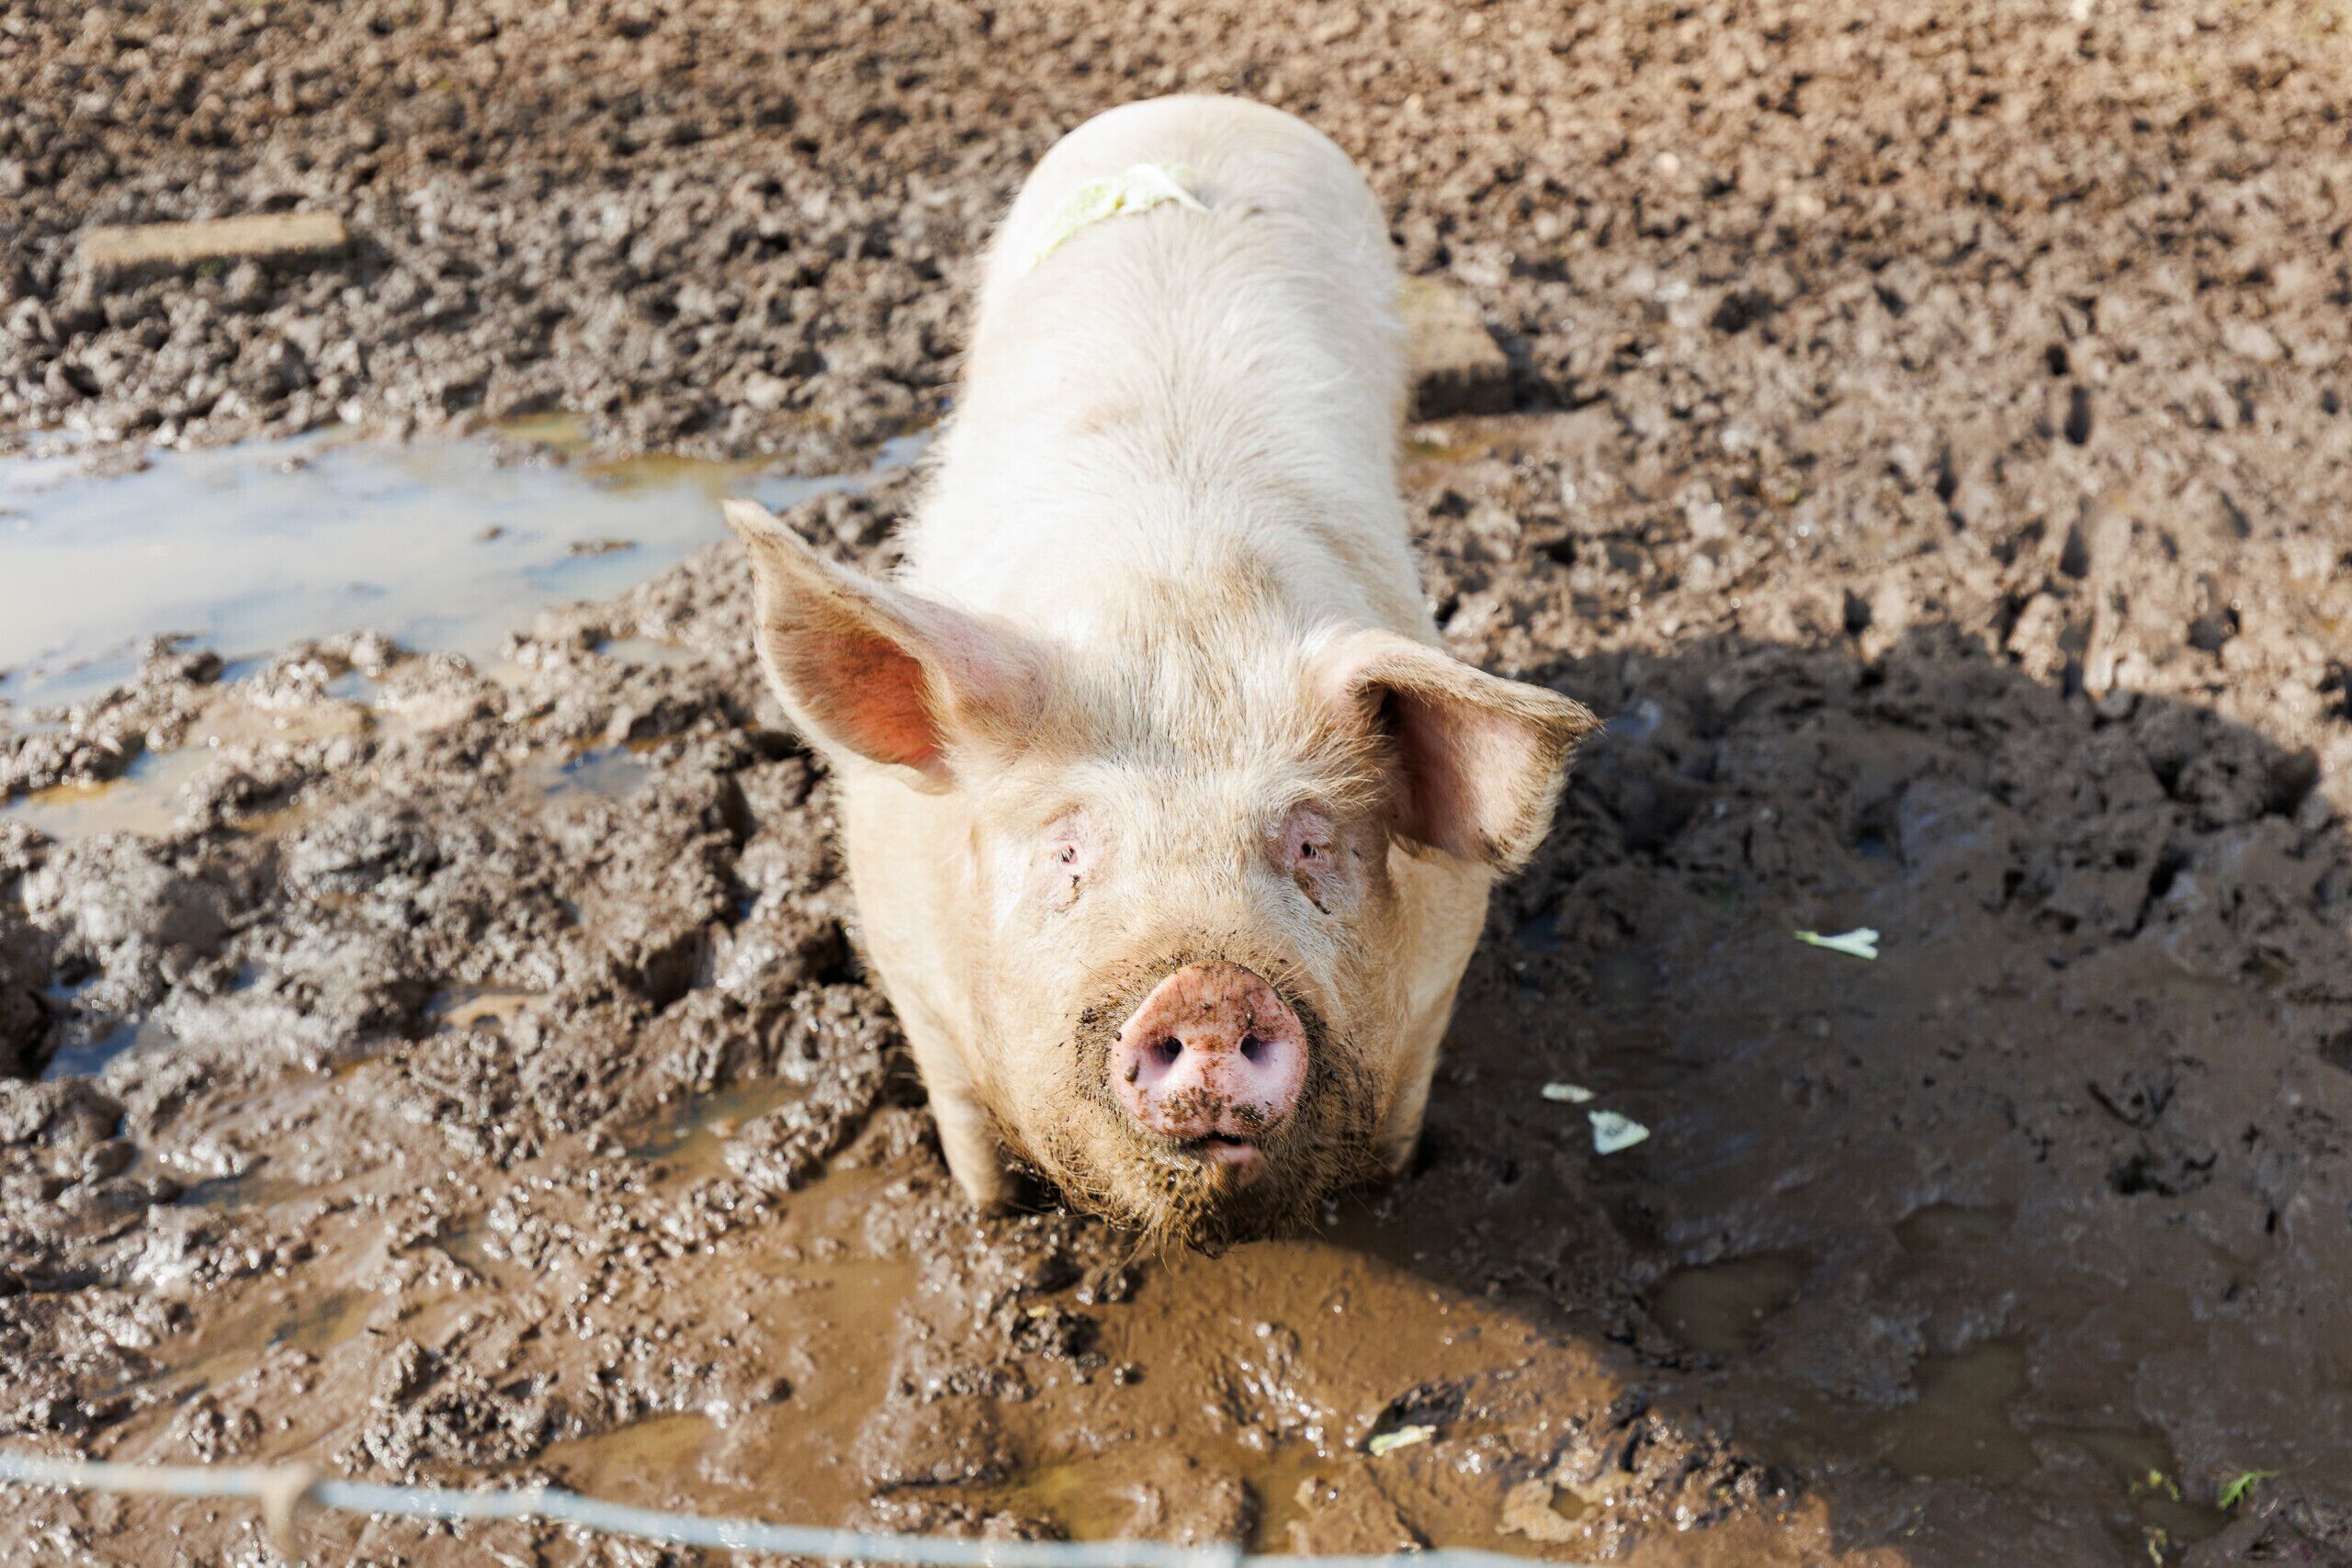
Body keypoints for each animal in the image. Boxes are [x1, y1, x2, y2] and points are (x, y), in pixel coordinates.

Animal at [724, 96, 1597, 1248]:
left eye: (1312, 844)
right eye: (1065, 852)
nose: (1210, 993)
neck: (1177, 597)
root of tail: (1202, 103)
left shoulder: (1440, 976)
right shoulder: (910, 973)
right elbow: (967, 1136)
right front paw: (992, 1220)